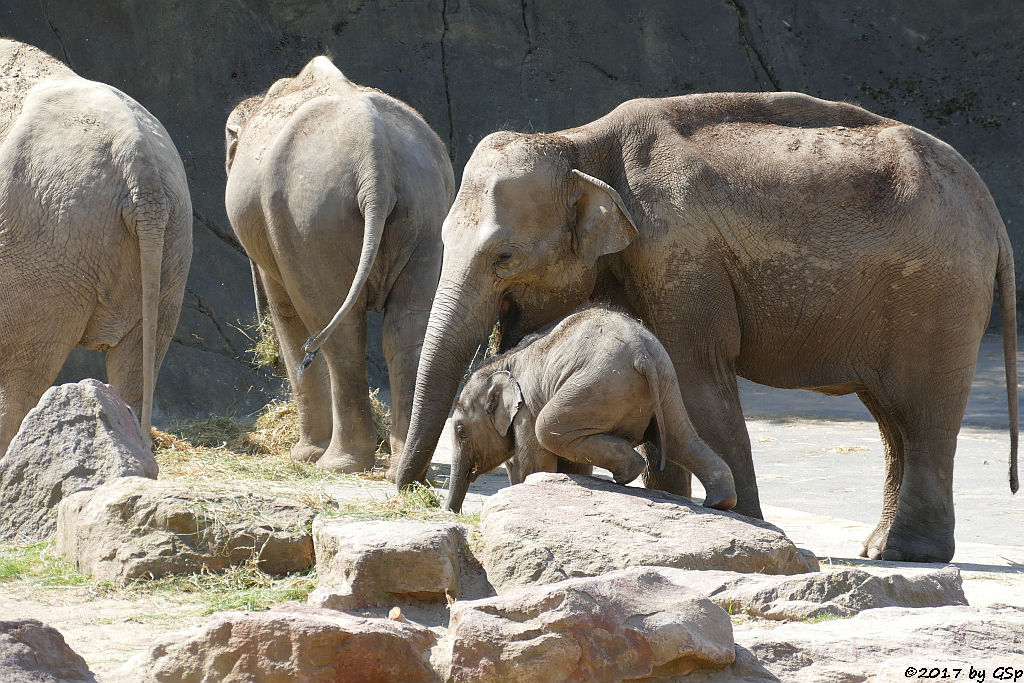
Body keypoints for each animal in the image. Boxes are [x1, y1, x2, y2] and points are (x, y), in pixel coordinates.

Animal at [226, 56, 454, 473]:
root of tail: (374, 156)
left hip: (309, 218)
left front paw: (303, 455)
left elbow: (286, 310)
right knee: (404, 331)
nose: (267, 360)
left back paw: (335, 464)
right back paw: (401, 466)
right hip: (427, 210)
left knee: (335, 329)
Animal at [446, 305, 737, 511]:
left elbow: (533, 464)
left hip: (597, 383)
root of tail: (641, 353)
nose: (452, 512)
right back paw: (719, 503)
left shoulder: (527, 408)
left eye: (461, 431)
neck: (504, 361)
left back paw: (626, 474)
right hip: (666, 380)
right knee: (682, 440)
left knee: (548, 427)